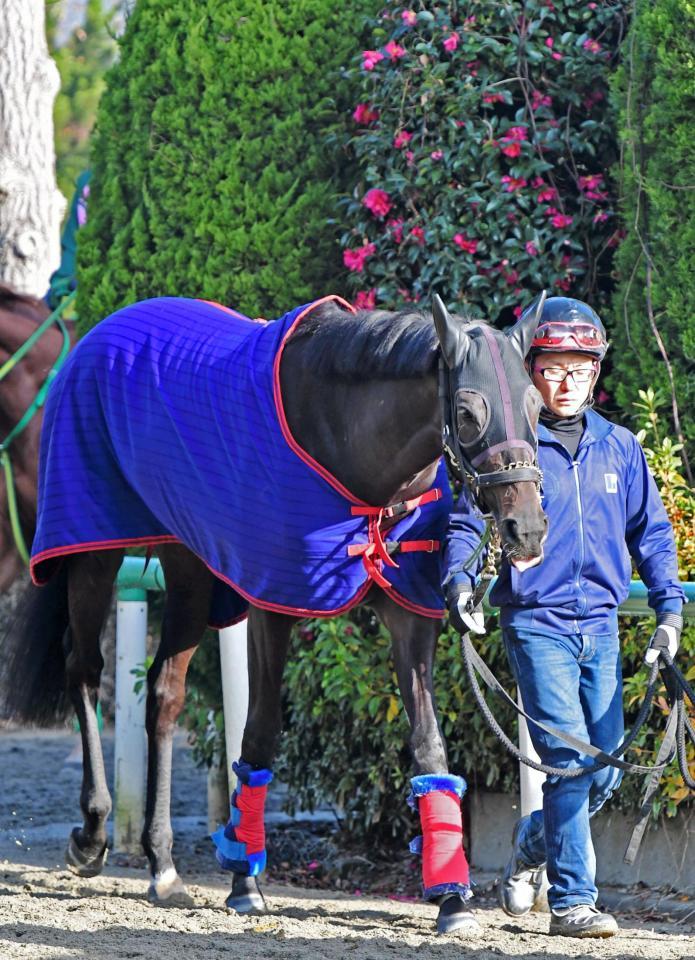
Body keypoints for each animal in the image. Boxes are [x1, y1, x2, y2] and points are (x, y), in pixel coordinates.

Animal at [1, 294, 548, 936]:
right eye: (465, 412)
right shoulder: (272, 606)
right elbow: (259, 735)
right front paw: (244, 881)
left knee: (165, 695)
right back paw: (91, 834)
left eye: (536, 404)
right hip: (94, 551)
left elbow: (429, 743)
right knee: (84, 669)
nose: (526, 527)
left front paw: (451, 897)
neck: (349, 449)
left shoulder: (410, 616)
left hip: (190, 568)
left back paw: (163, 864)